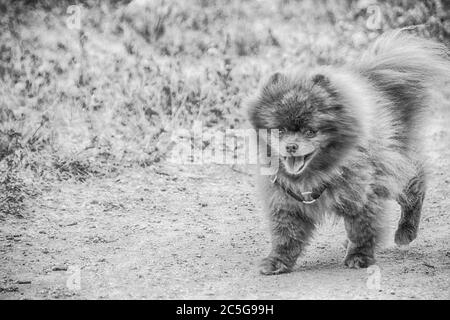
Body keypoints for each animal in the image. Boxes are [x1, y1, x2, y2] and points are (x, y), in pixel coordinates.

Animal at [246, 30, 450, 276]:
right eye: (281, 130)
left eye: (310, 131)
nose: (291, 146)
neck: (316, 173)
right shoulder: (286, 202)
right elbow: (286, 236)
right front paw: (277, 261)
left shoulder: (364, 195)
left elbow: (362, 229)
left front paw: (359, 257)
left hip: (398, 166)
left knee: (415, 191)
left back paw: (406, 231)